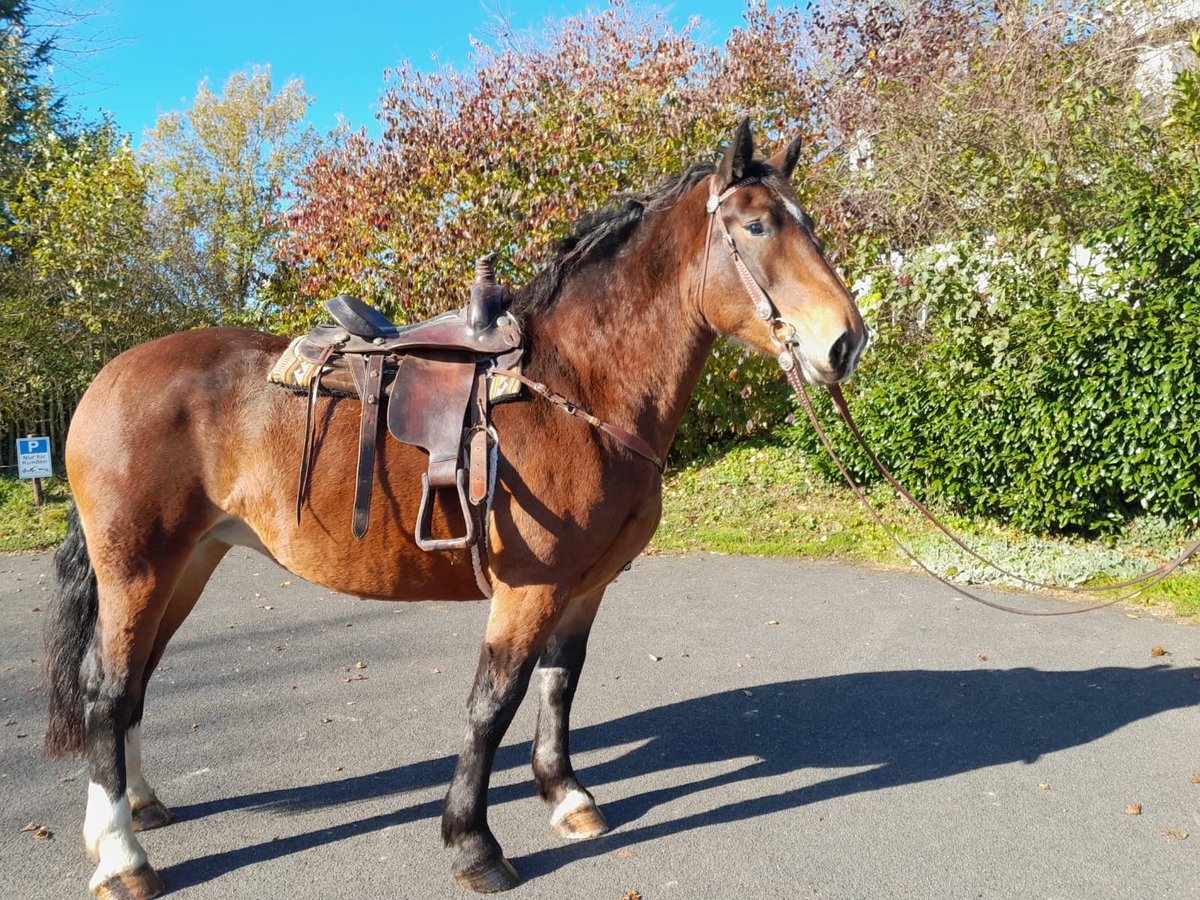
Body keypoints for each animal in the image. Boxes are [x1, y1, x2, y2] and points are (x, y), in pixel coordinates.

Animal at [39, 121, 864, 900]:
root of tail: (107, 378)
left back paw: (137, 808)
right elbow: (491, 705)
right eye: (756, 226)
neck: (576, 388)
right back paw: (122, 858)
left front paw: (567, 798)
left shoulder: (585, 588)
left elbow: (559, 685)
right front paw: (474, 845)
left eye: (804, 222)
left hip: (188, 564)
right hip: (138, 567)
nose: (846, 342)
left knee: (134, 681)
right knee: (108, 691)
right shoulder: (529, 590)